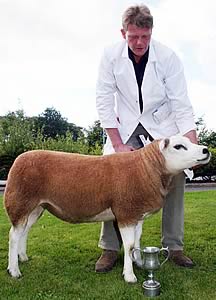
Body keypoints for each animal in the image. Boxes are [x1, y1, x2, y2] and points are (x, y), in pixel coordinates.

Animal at [3, 135, 211, 282]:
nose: (206, 150)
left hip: (36, 208)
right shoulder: (126, 212)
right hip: (20, 203)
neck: (147, 168)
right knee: (13, 235)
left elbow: (137, 242)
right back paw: (14, 270)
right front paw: (129, 276)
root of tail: (18, 159)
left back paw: (23, 258)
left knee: (24, 232)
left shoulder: (137, 214)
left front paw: (139, 262)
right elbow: (129, 245)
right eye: (178, 146)